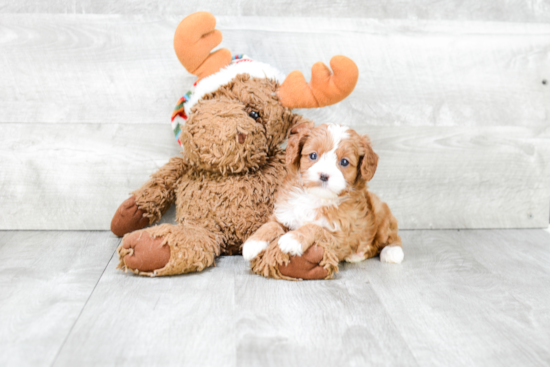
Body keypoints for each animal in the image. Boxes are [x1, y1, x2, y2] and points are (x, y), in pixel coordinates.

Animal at [244, 123, 404, 270]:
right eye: (313, 155)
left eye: (344, 162)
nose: (324, 175)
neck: (316, 197)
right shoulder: (284, 213)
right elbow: (271, 225)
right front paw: (253, 243)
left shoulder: (341, 235)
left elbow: (315, 228)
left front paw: (293, 239)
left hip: (381, 214)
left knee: (390, 237)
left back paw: (391, 252)